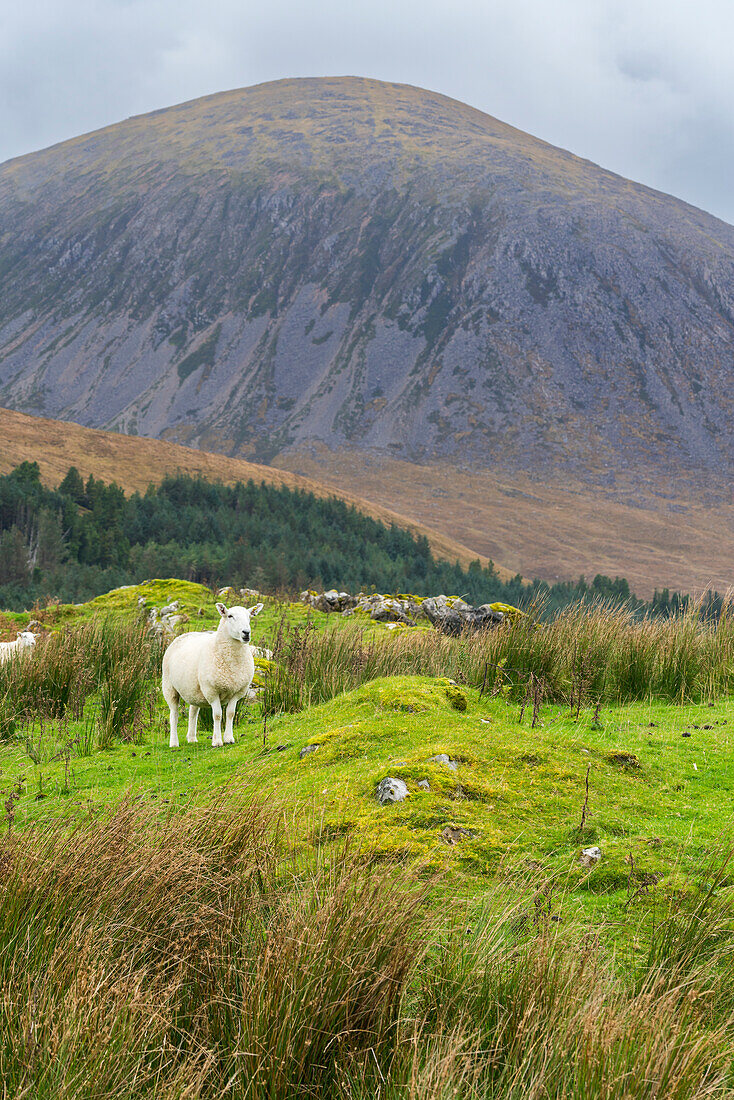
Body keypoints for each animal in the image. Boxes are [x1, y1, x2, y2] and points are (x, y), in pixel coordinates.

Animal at [160, 602, 264, 748]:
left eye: (249, 616)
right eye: (230, 616)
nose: (246, 633)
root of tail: (185, 634)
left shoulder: (238, 692)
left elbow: (230, 714)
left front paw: (229, 738)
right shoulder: (212, 691)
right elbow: (217, 715)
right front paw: (217, 741)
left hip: (194, 689)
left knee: (193, 711)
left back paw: (191, 738)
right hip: (169, 687)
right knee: (174, 714)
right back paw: (174, 742)